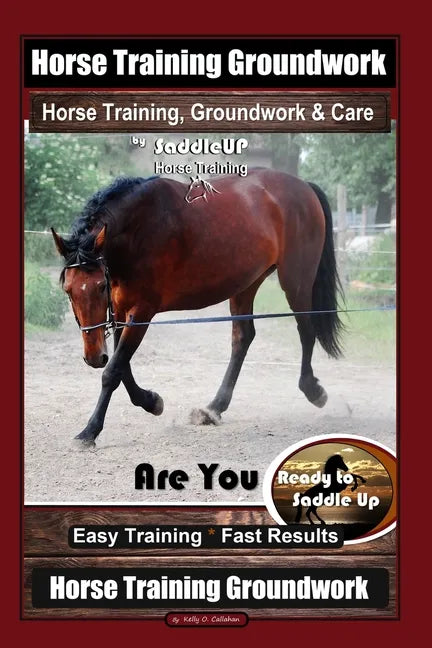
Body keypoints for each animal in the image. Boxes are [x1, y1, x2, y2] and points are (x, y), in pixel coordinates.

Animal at [51, 168, 344, 446]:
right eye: (68, 290)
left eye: (101, 286)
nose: (93, 356)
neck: (139, 230)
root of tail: (304, 186)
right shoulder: (121, 312)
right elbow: (123, 369)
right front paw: (152, 401)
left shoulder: (142, 312)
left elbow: (113, 371)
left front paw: (89, 431)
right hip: (246, 283)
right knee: (243, 337)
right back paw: (214, 408)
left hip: (296, 281)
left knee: (306, 330)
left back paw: (313, 390)